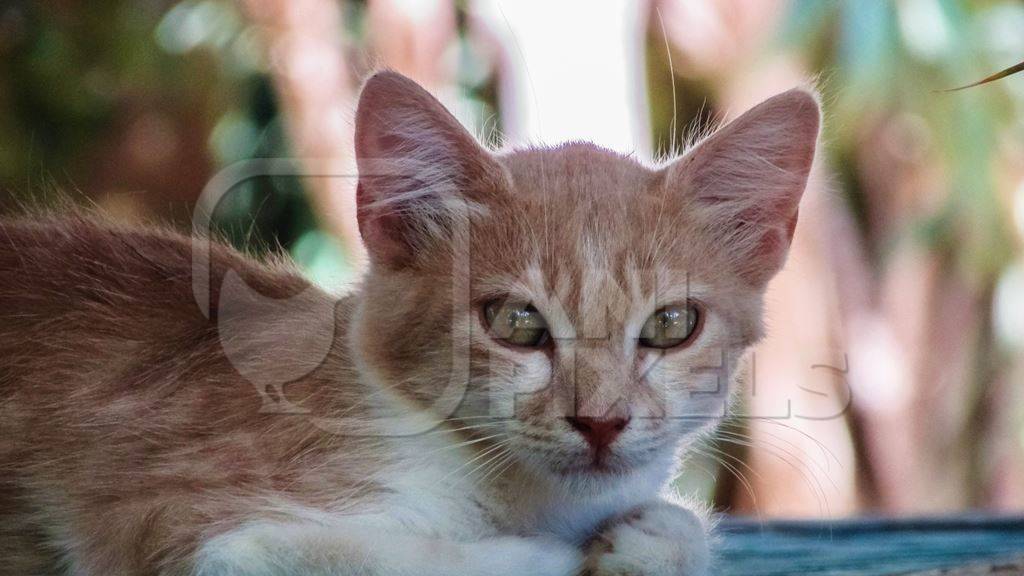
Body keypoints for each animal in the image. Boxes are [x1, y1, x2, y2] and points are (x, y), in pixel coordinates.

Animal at [0, 71, 819, 573]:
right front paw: (550, 556)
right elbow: (351, 552)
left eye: (672, 324)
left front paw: (655, 536)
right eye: (516, 322)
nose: (601, 422)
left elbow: (677, 529)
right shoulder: (167, 516)